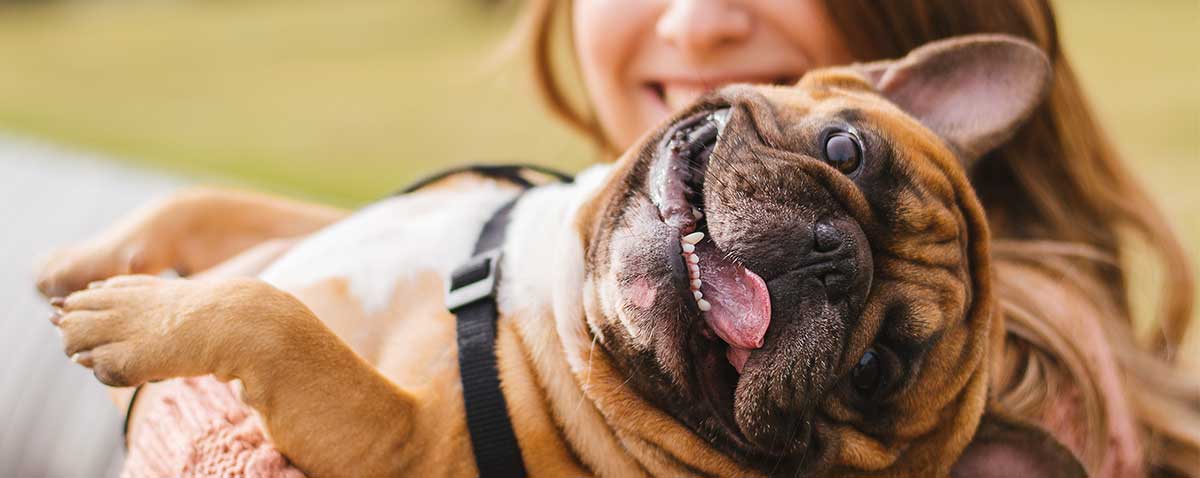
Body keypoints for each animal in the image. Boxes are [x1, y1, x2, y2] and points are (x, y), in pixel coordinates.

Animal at [37, 35, 1089, 475]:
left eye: (873, 370)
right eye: (845, 150)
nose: (833, 258)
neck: (548, 288)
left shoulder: (398, 446)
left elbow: (278, 320)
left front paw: (130, 317)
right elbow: (210, 202)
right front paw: (86, 261)